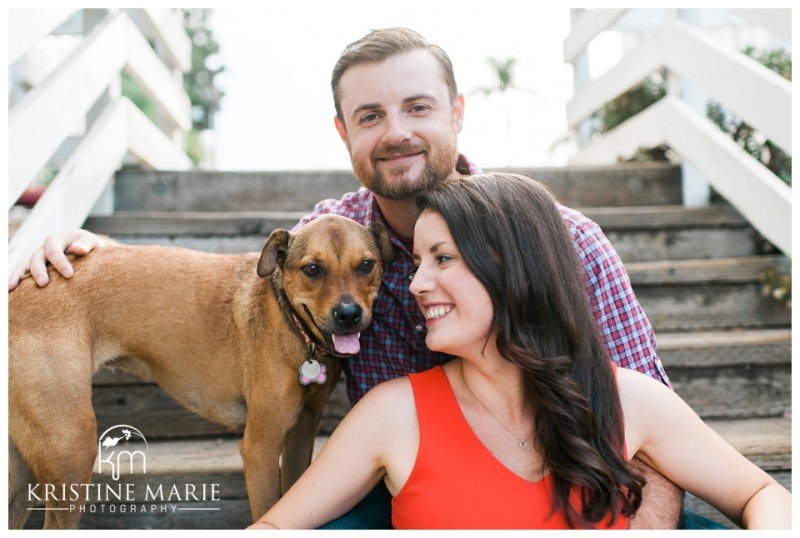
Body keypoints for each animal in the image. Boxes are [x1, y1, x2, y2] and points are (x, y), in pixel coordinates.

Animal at [6, 214, 394, 528]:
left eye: (367, 265)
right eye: (312, 269)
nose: (349, 315)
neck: (295, 327)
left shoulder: (301, 434)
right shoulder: (261, 448)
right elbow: (268, 508)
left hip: (25, 468)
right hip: (70, 448)